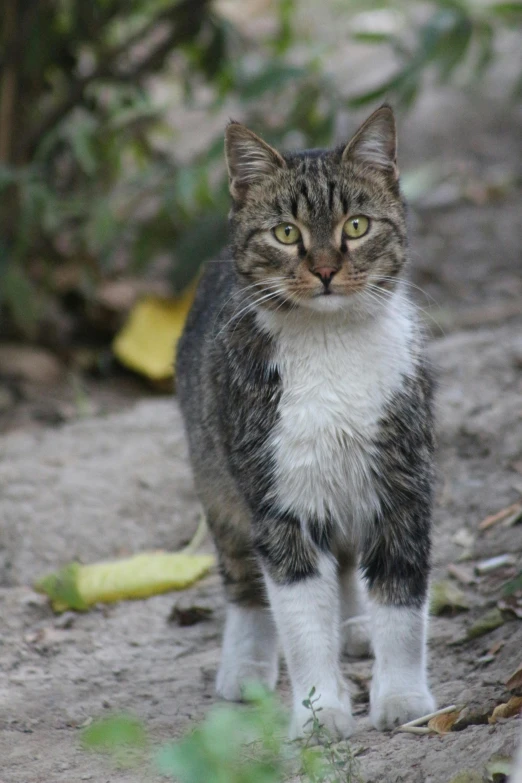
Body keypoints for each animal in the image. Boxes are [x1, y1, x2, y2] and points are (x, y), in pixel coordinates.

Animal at [175, 105, 434, 740]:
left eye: (357, 226)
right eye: (286, 233)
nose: (323, 270)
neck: (330, 342)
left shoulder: (404, 482)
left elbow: (402, 603)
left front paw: (403, 699)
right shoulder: (279, 498)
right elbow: (301, 617)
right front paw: (322, 714)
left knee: (347, 560)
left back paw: (356, 623)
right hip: (215, 476)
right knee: (244, 580)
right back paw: (245, 663)